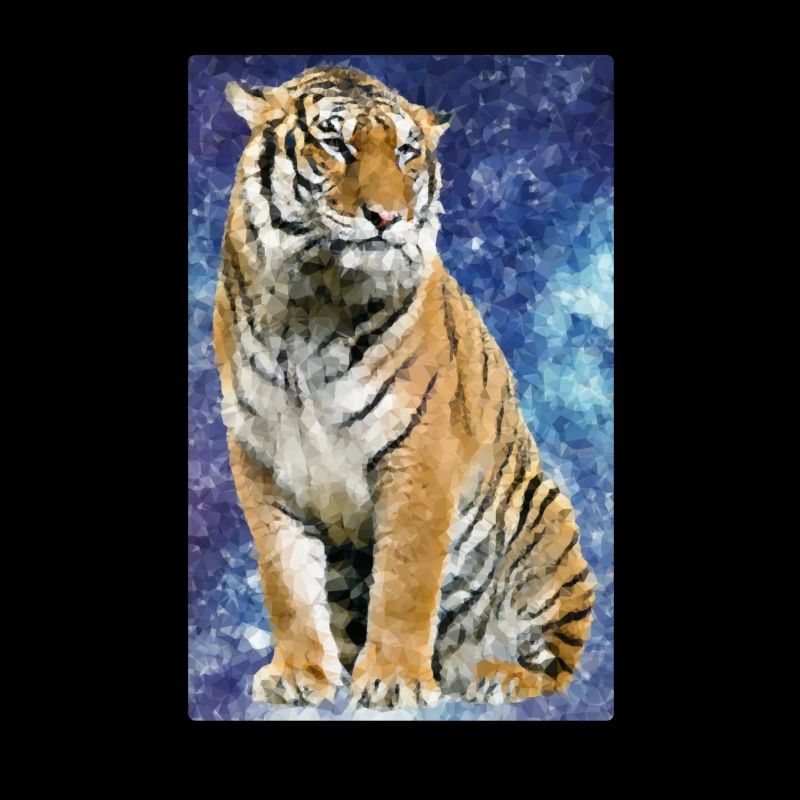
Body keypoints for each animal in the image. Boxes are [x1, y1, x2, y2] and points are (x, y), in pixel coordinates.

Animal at [212, 66, 596, 709]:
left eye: (405, 152)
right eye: (335, 144)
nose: (387, 217)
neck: (311, 304)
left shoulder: (419, 454)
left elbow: (406, 580)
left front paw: (394, 681)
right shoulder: (260, 459)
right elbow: (286, 580)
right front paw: (300, 674)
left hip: (548, 526)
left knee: (555, 663)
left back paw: (498, 677)